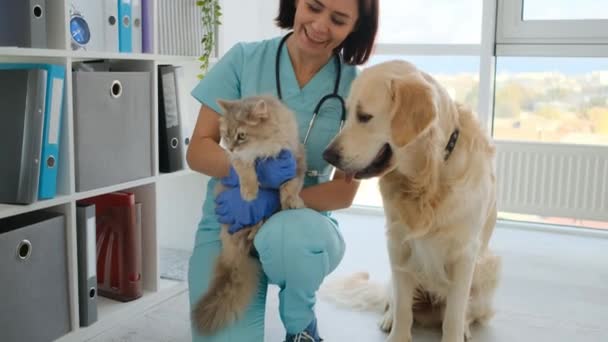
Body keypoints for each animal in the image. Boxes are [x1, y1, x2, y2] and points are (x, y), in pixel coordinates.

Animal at [192, 95, 306, 334]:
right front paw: (250, 193)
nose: (231, 148)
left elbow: (291, 185)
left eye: (241, 135)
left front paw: (291, 201)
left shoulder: (296, 159)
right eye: (226, 134)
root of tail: (235, 256)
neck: (266, 147)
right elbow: (247, 170)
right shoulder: (240, 161)